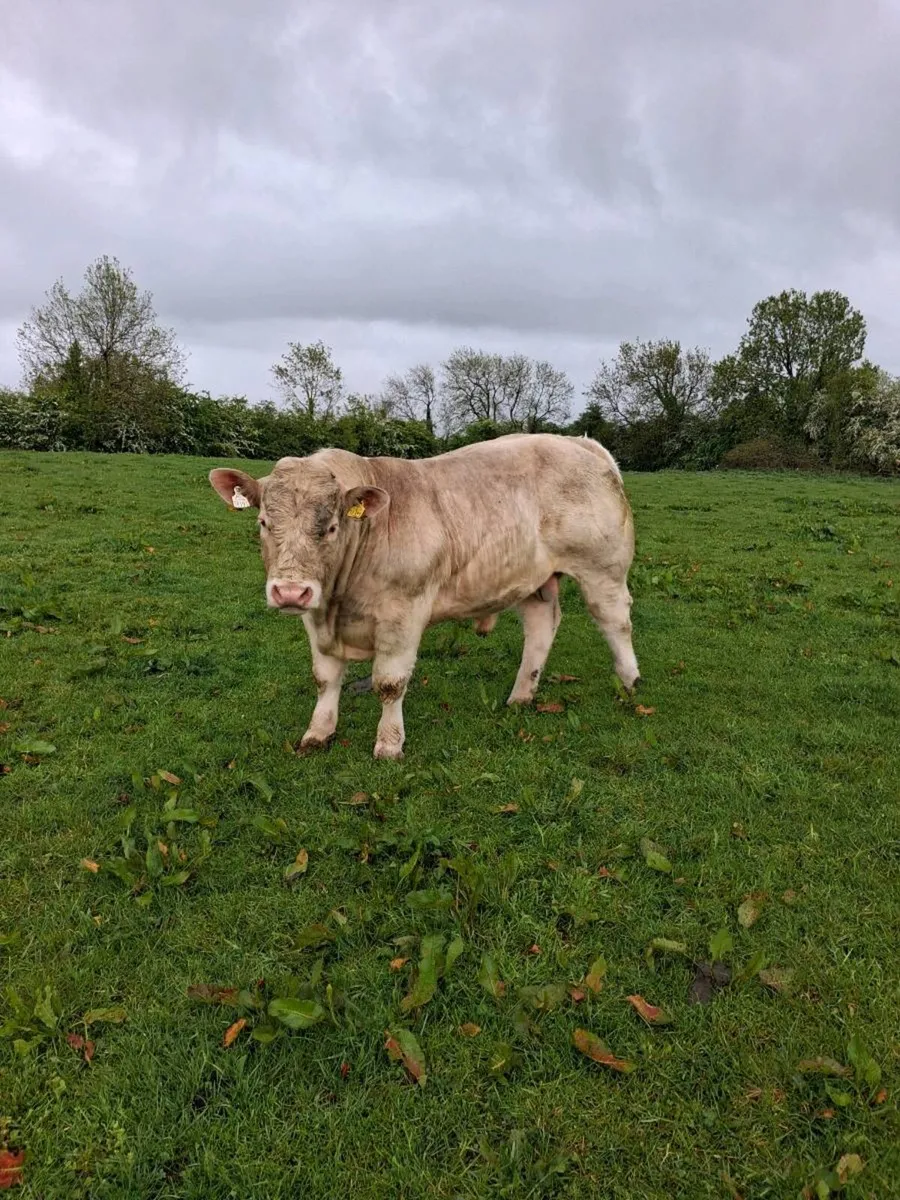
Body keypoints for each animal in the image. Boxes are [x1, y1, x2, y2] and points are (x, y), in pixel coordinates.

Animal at [209, 433, 639, 760]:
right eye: (263, 522)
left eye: (331, 527)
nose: (290, 591)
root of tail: (577, 442)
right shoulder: (316, 616)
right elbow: (325, 678)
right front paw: (318, 732)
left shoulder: (403, 614)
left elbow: (389, 683)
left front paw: (388, 745)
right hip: (533, 579)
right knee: (540, 628)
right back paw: (521, 695)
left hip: (603, 569)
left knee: (615, 621)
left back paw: (630, 681)